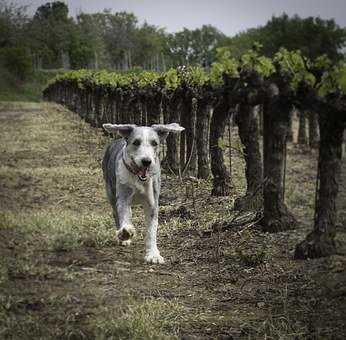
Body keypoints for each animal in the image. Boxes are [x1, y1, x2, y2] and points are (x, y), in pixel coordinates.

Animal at [102, 123, 185, 264]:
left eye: (155, 143)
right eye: (136, 142)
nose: (146, 161)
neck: (137, 178)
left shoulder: (152, 202)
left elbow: (152, 230)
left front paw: (153, 255)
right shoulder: (123, 197)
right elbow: (123, 214)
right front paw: (125, 233)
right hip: (111, 192)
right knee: (116, 213)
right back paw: (123, 237)